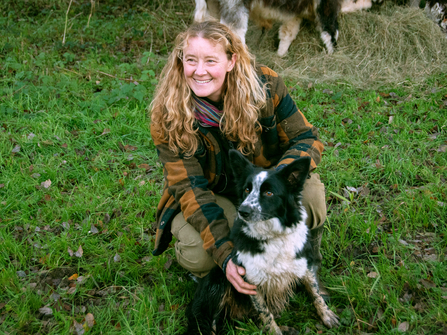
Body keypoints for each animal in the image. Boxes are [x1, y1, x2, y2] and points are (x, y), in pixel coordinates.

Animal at [183, 150, 340, 335]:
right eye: (247, 189)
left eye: (269, 193)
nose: (242, 211)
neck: (273, 236)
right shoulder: (250, 281)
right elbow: (265, 313)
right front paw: (275, 331)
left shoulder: (304, 264)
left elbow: (315, 292)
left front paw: (327, 315)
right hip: (218, 282)